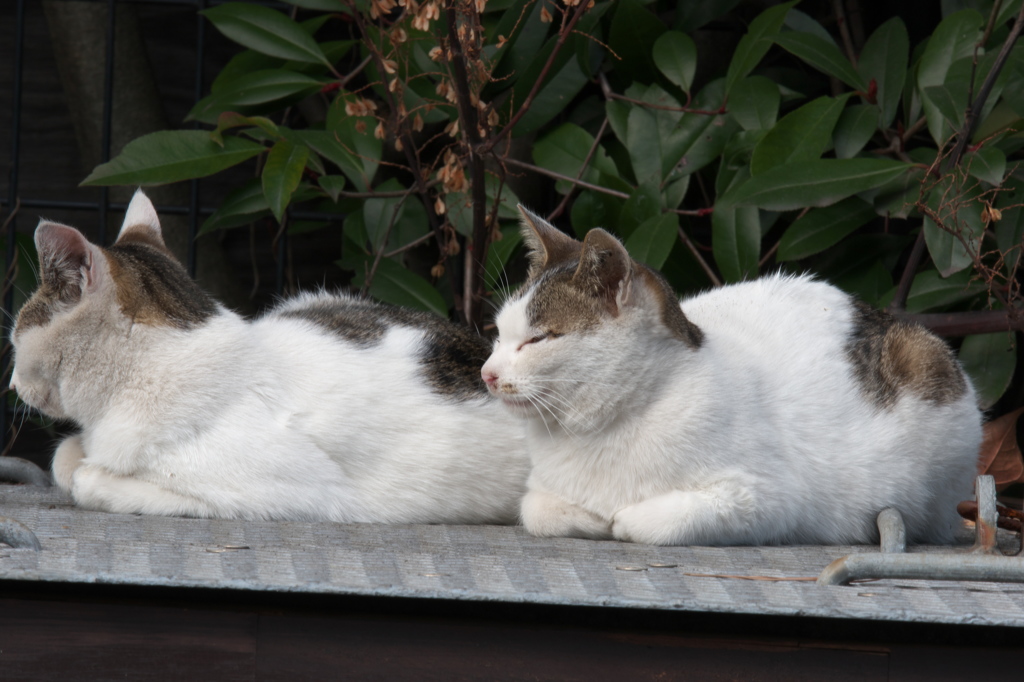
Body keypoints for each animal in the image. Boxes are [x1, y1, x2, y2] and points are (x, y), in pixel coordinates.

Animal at [9, 188, 528, 522]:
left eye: (14, 339)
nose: (11, 384)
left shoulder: (279, 495)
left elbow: (89, 481)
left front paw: (92, 475)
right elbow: (64, 457)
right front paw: (76, 455)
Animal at [483, 206, 978, 540]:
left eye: (537, 340)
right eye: (499, 335)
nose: (487, 373)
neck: (598, 430)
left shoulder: (770, 499)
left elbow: (644, 522)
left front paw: (620, 518)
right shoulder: (538, 491)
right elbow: (536, 510)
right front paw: (588, 517)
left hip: (924, 369)